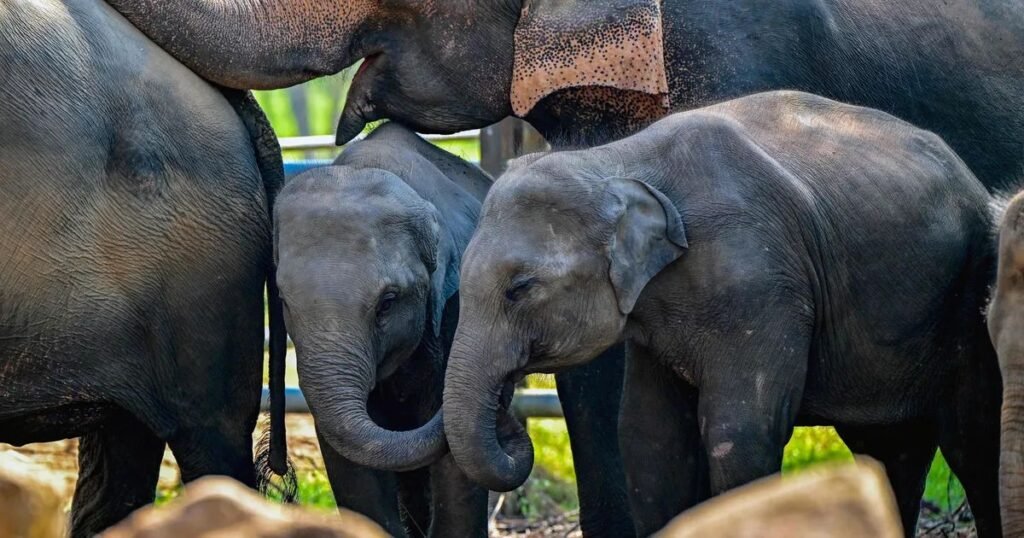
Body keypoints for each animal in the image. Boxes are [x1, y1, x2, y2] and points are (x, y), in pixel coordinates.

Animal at [431, 91, 1003, 537]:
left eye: (519, 289)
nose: (510, 414)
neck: (615, 162)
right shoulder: (655, 318)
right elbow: (650, 439)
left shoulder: (760, 284)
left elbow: (740, 433)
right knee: (889, 452)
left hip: (969, 300)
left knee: (973, 442)